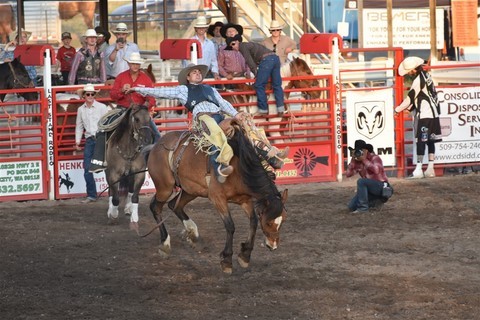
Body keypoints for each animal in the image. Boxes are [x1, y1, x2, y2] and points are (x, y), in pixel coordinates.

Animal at [148, 121, 286, 274]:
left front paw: (245, 255)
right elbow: (230, 226)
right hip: (165, 188)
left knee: (174, 205)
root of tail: (157, 144)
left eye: (282, 221)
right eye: (268, 223)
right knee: (155, 207)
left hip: (191, 190)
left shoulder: (245, 200)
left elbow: (253, 222)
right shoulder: (217, 198)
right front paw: (226, 260)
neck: (239, 168)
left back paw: (193, 234)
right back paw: (165, 243)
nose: (273, 245)